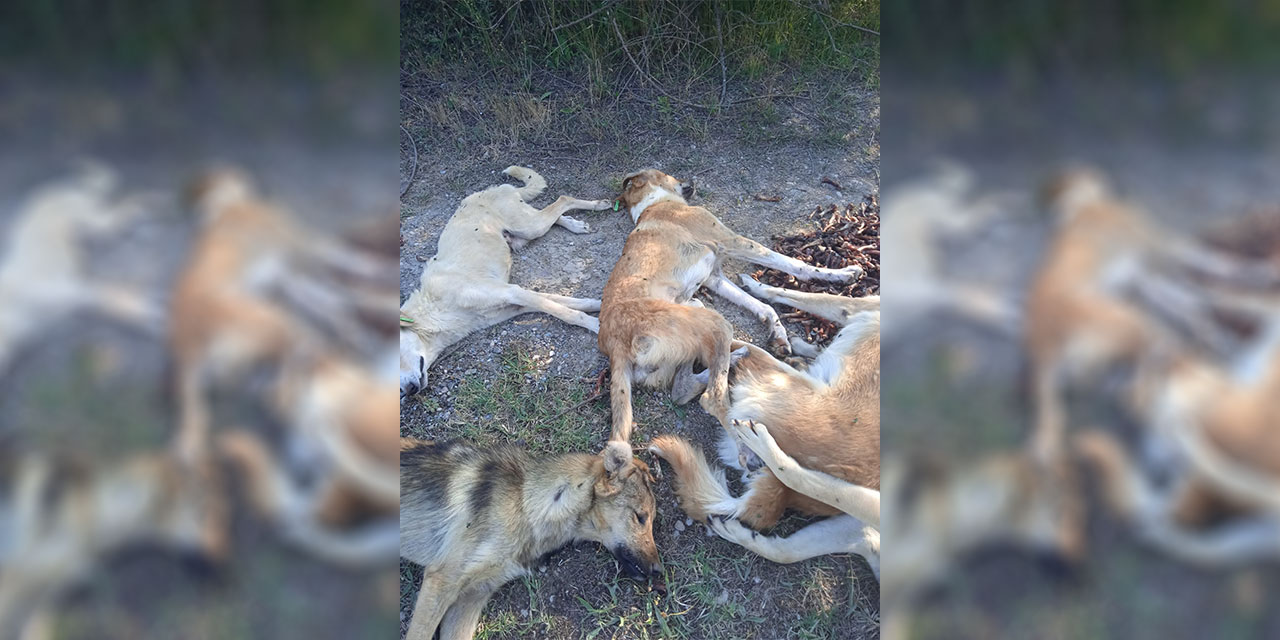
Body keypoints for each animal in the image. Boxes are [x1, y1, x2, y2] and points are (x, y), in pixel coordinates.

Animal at [396, 167, 606, 401]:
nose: (406, 392)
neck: (434, 309)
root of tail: (490, 190)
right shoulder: (517, 304)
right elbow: (565, 303)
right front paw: (600, 305)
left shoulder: (511, 292)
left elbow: (568, 313)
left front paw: (600, 325)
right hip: (523, 234)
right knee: (553, 213)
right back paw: (574, 224)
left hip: (529, 227)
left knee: (563, 199)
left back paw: (599, 205)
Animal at [604, 170, 865, 445]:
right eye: (668, 173)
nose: (692, 180)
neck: (654, 205)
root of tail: (613, 342)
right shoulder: (734, 241)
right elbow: (794, 265)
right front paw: (842, 274)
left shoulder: (715, 277)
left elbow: (762, 305)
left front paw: (778, 332)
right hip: (712, 322)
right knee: (712, 398)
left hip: (688, 328)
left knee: (681, 389)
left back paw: (737, 356)